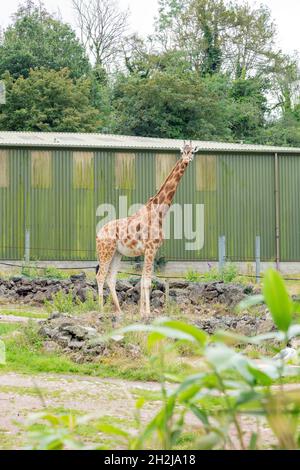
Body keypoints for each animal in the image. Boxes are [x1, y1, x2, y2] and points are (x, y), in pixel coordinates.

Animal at [96, 140, 198, 316]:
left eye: (192, 152)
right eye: (182, 152)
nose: (186, 160)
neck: (159, 211)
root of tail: (98, 234)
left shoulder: (149, 250)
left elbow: (143, 279)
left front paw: (141, 312)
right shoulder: (151, 248)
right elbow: (147, 281)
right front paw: (148, 313)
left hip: (117, 253)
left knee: (111, 278)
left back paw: (120, 311)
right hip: (105, 251)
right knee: (100, 276)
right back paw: (101, 310)